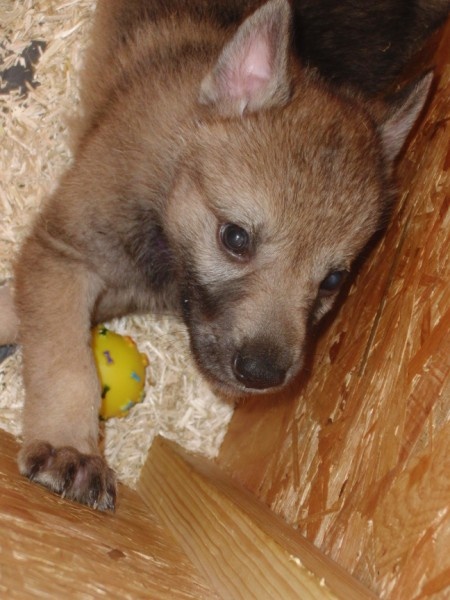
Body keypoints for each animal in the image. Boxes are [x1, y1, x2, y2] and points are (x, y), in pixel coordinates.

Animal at [2, 0, 449, 509]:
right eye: (235, 238)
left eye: (333, 280)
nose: (261, 374)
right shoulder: (66, 253)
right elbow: (68, 363)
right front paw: (70, 449)